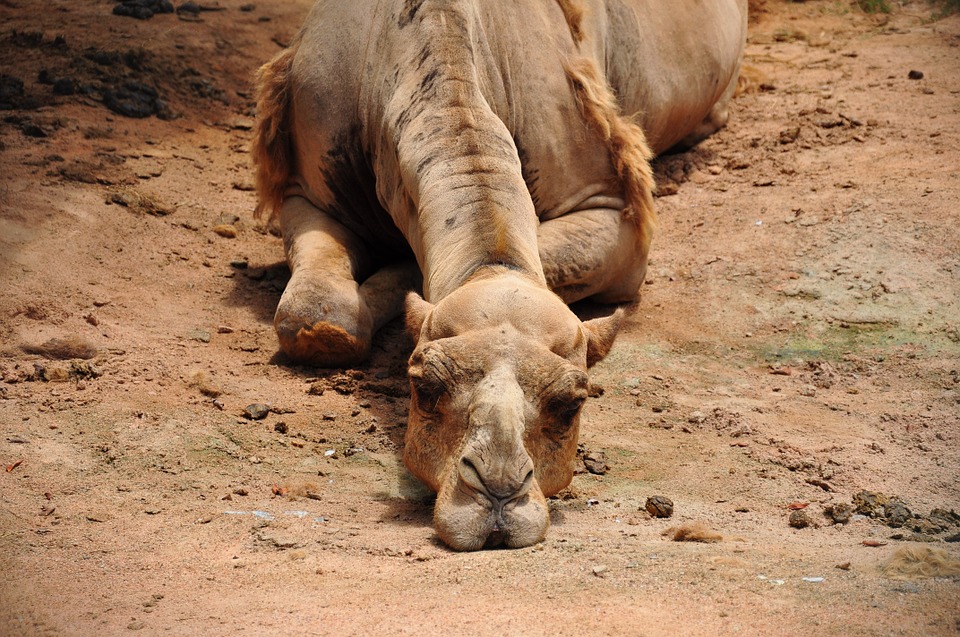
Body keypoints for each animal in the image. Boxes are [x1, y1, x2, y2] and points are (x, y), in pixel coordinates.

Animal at [255, 0, 752, 548]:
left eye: (571, 404)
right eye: (424, 386)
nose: (496, 493)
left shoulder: (613, 210)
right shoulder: (305, 188)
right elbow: (318, 319)